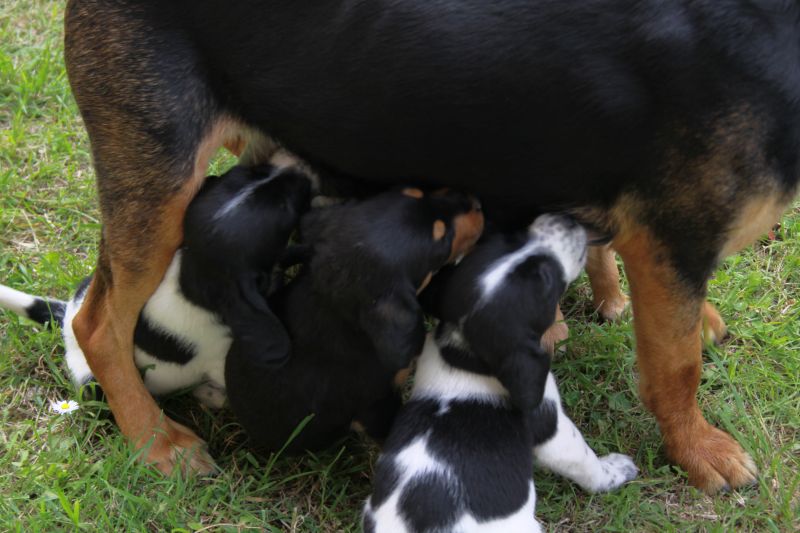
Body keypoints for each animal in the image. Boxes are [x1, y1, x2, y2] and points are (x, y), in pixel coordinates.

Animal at [0, 164, 310, 406]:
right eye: (284, 208)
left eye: (254, 170)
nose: (300, 170)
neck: (190, 276)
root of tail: (67, 317)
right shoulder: (219, 359)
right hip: (91, 379)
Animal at [366, 215, 640, 532]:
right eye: (547, 278)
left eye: (509, 239)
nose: (565, 220)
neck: (465, 355)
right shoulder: (551, 426)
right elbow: (585, 461)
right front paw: (616, 470)